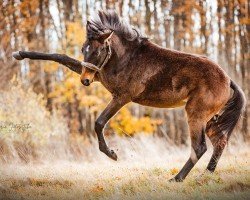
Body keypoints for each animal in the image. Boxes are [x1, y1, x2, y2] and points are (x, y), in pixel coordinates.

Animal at [80, 10, 246, 180]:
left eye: (98, 51)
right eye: (83, 49)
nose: (85, 80)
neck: (128, 59)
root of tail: (227, 80)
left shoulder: (121, 97)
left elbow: (99, 122)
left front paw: (111, 154)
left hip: (196, 114)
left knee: (200, 147)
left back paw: (178, 178)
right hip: (211, 119)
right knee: (219, 142)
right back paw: (205, 175)